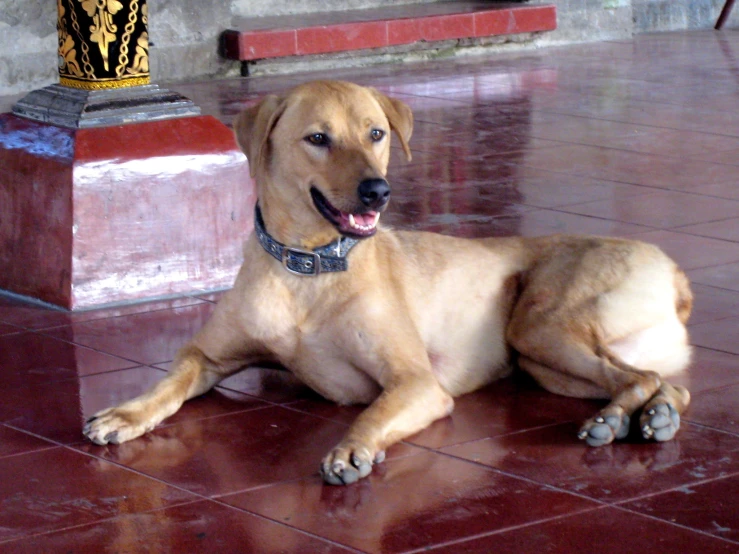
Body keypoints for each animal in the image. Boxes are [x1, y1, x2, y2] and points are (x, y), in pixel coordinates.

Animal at [85, 78, 692, 484]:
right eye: (318, 138)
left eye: (376, 133)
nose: (378, 192)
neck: (308, 268)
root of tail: (674, 270)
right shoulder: (206, 355)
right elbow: (169, 381)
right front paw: (126, 412)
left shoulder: (416, 383)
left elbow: (374, 410)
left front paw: (352, 448)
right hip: (546, 363)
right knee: (662, 383)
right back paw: (645, 418)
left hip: (541, 328)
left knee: (645, 378)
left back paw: (618, 420)